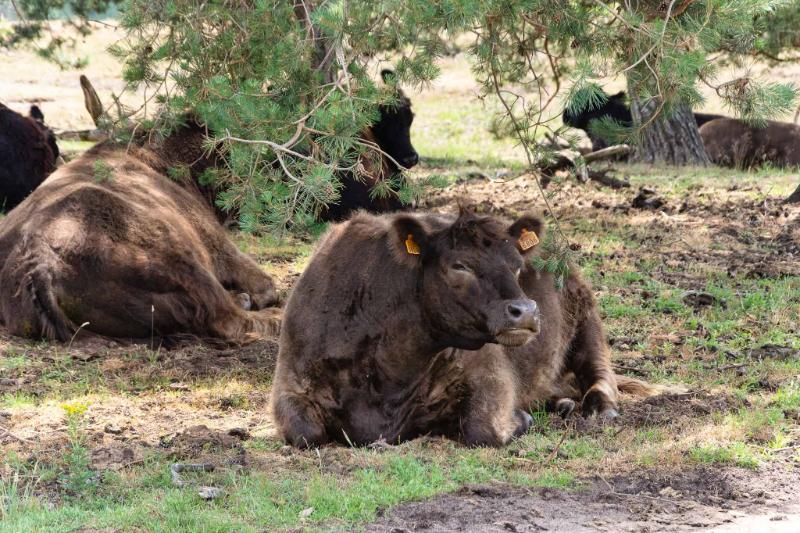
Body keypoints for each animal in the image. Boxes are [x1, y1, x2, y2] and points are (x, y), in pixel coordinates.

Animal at [0, 121, 278, 342]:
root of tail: (37, 259)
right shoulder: (220, 247)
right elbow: (266, 285)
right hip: (180, 260)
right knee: (230, 319)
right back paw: (269, 314)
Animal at [274, 210, 544, 446]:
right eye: (460, 266)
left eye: (517, 265)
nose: (525, 310)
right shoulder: (290, 384)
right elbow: (307, 433)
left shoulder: (490, 372)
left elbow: (484, 429)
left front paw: (521, 419)